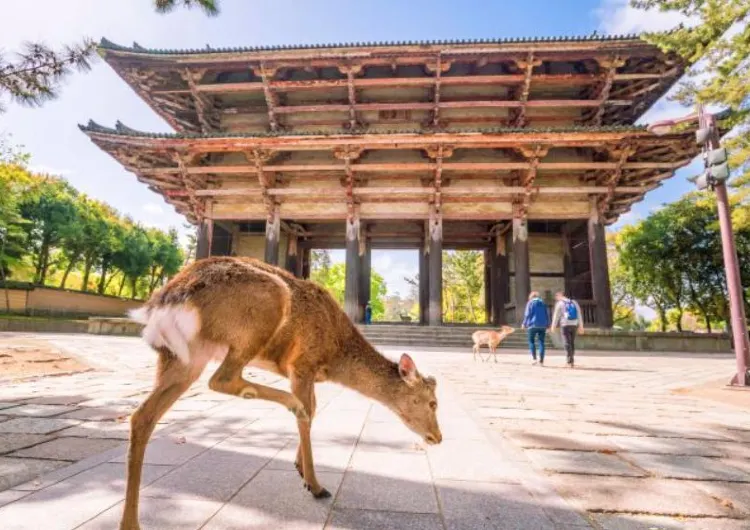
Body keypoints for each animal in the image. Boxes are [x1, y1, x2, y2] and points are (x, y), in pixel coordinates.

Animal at [120, 256, 444, 528]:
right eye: (432, 402)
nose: (437, 437)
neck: (335, 355)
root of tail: (160, 306)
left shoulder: (304, 374)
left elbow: (314, 410)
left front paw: (300, 469)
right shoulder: (301, 365)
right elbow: (308, 413)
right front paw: (314, 484)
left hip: (183, 358)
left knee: (143, 416)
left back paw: (130, 523)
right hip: (260, 312)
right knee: (222, 379)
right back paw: (288, 404)